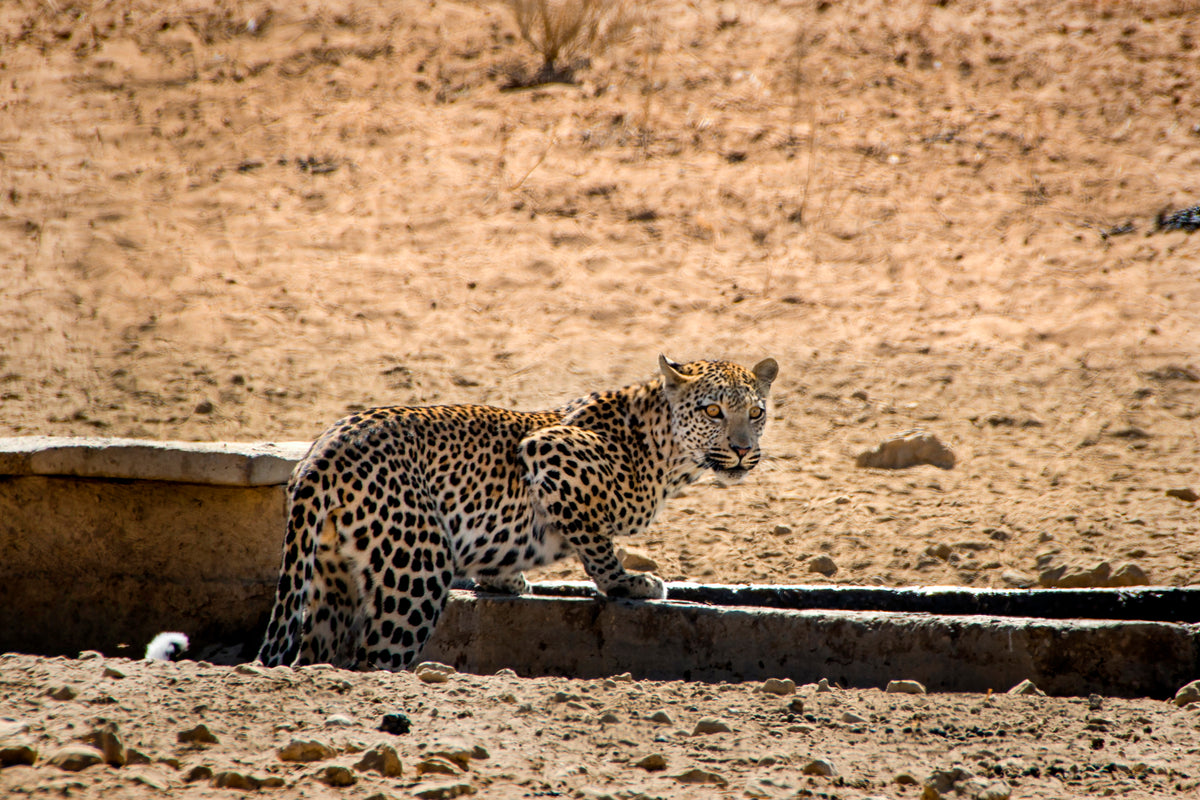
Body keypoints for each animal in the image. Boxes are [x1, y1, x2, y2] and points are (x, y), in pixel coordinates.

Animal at [256, 354, 778, 671]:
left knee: (318, 654)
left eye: (756, 413)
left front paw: (503, 579)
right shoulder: (549, 451)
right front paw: (627, 583)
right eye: (712, 411)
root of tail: (322, 452)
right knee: (377, 657)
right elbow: (596, 541)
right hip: (415, 575)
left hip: (332, 581)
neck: (667, 454)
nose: (742, 450)